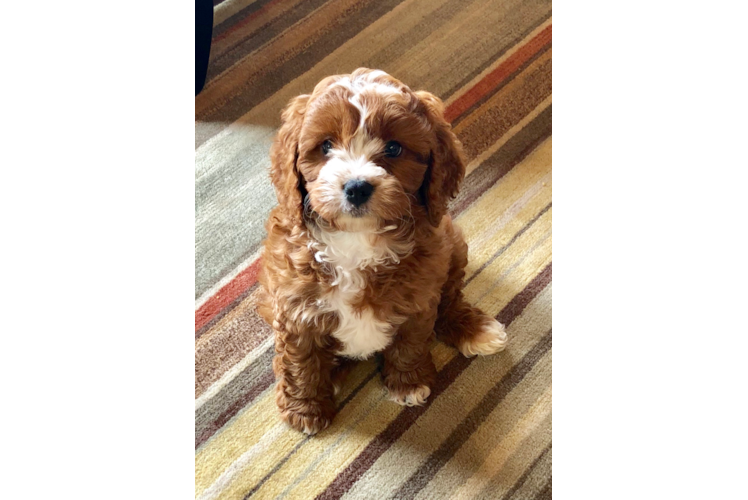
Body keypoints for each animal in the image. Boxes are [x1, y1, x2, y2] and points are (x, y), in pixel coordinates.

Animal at [258, 66, 508, 434]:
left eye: (393, 148)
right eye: (326, 145)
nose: (357, 187)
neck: (356, 240)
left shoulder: (418, 297)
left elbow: (411, 341)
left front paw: (409, 383)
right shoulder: (293, 309)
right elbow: (300, 362)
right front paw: (305, 410)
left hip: (452, 243)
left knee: (450, 297)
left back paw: (475, 329)